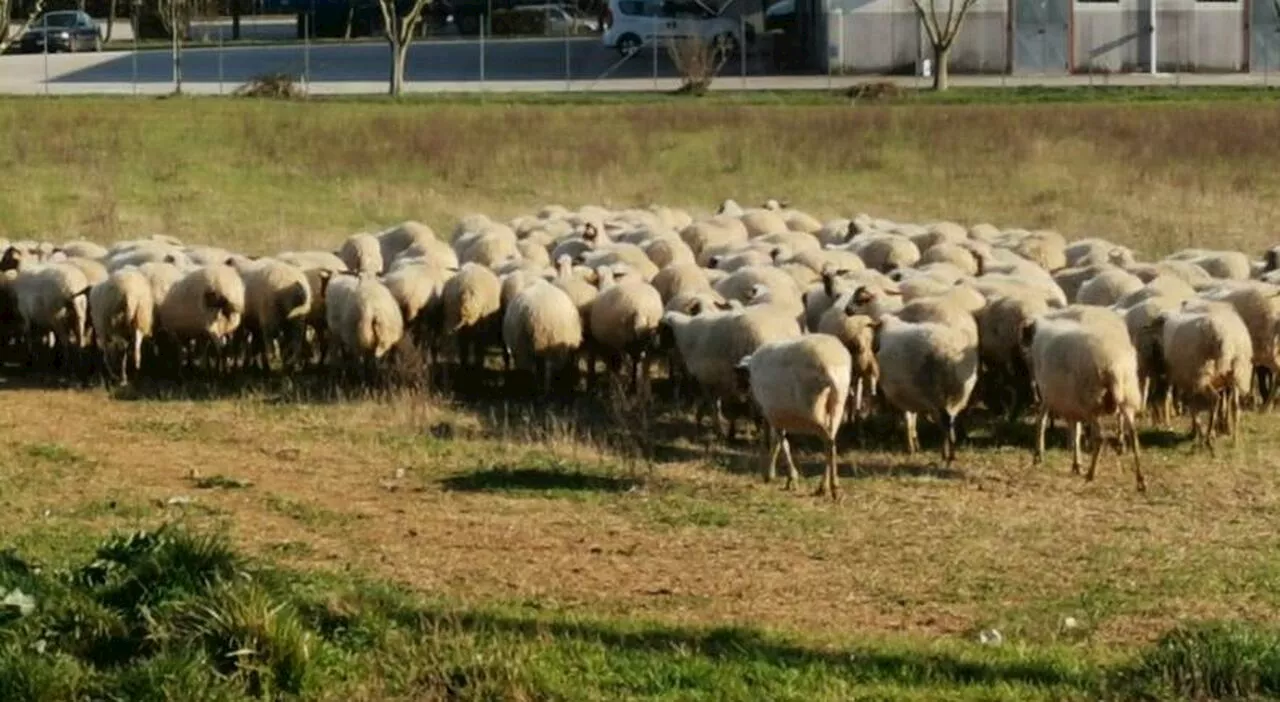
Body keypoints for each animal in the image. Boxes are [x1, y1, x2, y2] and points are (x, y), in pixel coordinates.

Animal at [737, 333, 855, 497]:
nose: (742, 394)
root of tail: (831, 368)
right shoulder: (777, 415)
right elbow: (778, 442)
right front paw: (781, 477)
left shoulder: (770, 414)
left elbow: (779, 442)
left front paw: (783, 477)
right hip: (838, 402)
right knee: (831, 441)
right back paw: (824, 487)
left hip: (813, 409)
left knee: (828, 442)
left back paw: (832, 487)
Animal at [875, 313, 972, 466]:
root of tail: (949, 354)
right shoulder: (912, 396)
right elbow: (912, 421)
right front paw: (916, 444)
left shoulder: (905, 397)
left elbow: (908, 421)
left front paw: (911, 447)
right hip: (956, 395)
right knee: (950, 421)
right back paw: (951, 452)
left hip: (936, 394)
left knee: (944, 422)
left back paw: (946, 455)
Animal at [1024, 312, 1146, 489]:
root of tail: (1113, 365)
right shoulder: (1072, 404)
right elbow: (1076, 431)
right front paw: (1076, 464)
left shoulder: (1049, 395)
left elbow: (1042, 421)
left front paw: (1038, 456)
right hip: (1126, 398)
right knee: (1133, 433)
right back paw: (1141, 480)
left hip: (1091, 402)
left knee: (1100, 437)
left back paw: (1091, 474)